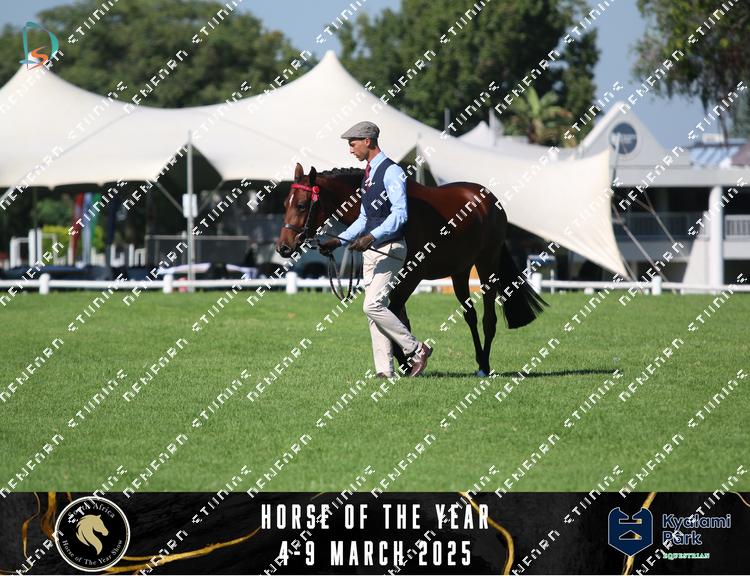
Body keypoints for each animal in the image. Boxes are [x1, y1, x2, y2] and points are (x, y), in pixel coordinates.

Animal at [276, 162, 547, 376]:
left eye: (302, 205)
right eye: (285, 203)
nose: (283, 247)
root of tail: (490, 199)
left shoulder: (412, 275)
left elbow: (395, 313)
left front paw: (410, 359)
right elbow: (398, 316)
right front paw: (406, 361)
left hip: (486, 263)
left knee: (488, 317)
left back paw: (484, 366)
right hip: (460, 271)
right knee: (469, 314)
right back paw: (478, 360)